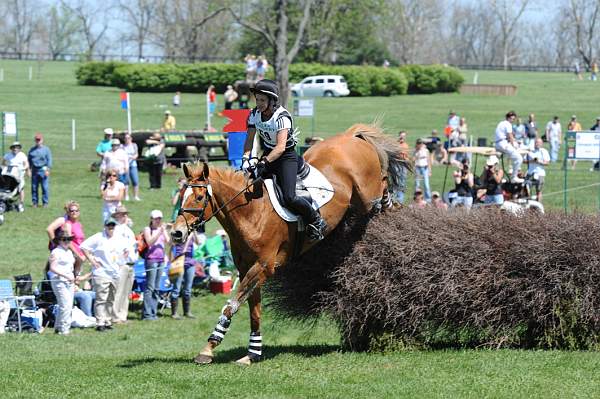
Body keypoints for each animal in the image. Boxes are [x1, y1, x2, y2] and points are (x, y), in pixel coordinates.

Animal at [173, 124, 408, 366]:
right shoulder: (247, 268)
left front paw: (209, 347)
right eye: (181, 195)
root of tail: (351, 136)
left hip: (366, 194)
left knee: (383, 184)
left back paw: (390, 205)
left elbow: (232, 305)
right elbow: (253, 311)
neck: (251, 213)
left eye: (199, 198)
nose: (177, 233)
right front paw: (252, 352)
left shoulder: (263, 266)